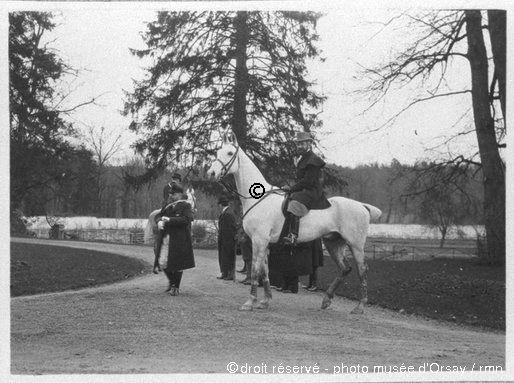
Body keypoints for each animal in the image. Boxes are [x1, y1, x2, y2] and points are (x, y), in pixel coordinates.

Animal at [207, 134, 380, 314]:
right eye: (217, 152)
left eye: (229, 153)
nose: (211, 173)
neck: (259, 198)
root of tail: (363, 206)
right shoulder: (264, 243)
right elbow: (265, 272)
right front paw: (265, 301)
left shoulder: (258, 240)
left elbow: (255, 271)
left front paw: (250, 302)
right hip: (333, 243)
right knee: (344, 269)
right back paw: (326, 300)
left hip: (356, 245)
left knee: (362, 270)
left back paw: (360, 306)